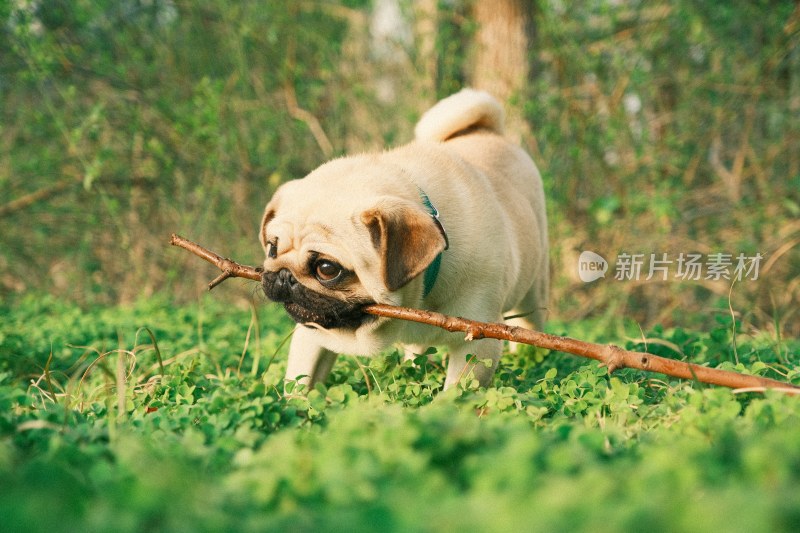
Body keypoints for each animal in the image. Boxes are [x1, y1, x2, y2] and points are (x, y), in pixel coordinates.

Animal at [260, 87, 548, 388]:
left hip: (533, 292)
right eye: (272, 248)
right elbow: (299, 381)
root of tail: (486, 129)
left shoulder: (479, 342)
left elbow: (458, 391)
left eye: (327, 269)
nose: (284, 275)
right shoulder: (311, 335)